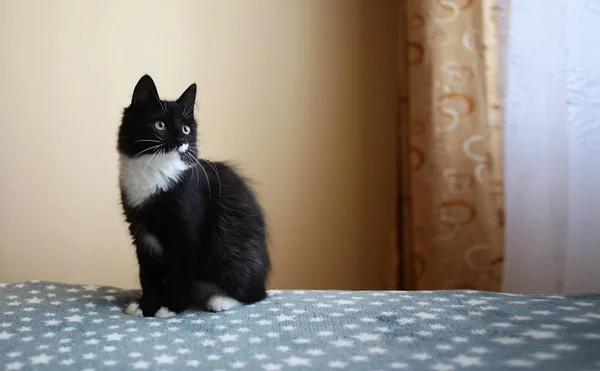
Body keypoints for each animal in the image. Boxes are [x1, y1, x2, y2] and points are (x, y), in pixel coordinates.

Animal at [117, 75, 270, 316]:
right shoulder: (141, 233)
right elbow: (148, 275)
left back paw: (220, 300)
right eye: (160, 124)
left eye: (186, 129)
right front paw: (145, 306)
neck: (156, 169)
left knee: (256, 293)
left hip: (232, 250)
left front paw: (171, 308)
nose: (181, 140)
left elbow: (179, 274)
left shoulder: (186, 235)